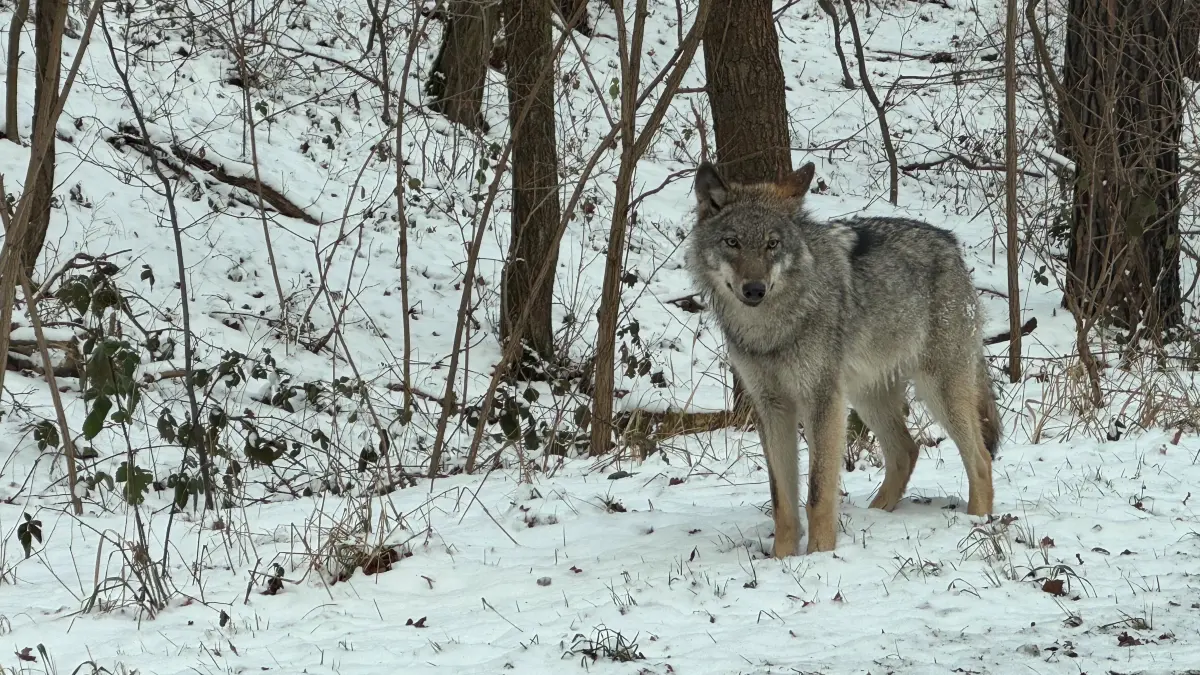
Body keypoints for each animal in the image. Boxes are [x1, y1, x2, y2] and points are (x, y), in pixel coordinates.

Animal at [686, 161, 1001, 557]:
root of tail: (950, 242)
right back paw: (879, 513)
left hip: (937, 391)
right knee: (907, 450)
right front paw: (781, 558)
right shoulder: (772, 407)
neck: (772, 330)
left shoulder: (822, 401)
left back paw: (977, 522)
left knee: (980, 459)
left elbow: (818, 493)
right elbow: (782, 500)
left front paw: (820, 555)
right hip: (867, 398)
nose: (754, 289)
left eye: (773, 244)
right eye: (733, 242)